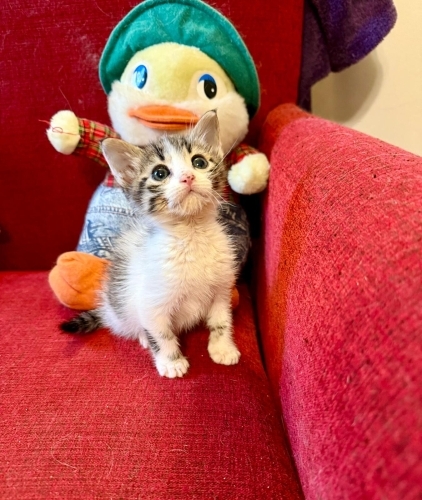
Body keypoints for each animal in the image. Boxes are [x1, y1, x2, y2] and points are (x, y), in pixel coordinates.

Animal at [61, 111, 240, 378]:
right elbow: (161, 332)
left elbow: (221, 320)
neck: (191, 233)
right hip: (121, 306)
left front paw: (222, 348)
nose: (188, 177)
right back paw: (143, 337)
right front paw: (171, 361)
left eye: (199, 162)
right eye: (160, 173)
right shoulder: (150, 301)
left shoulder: (221, 288)